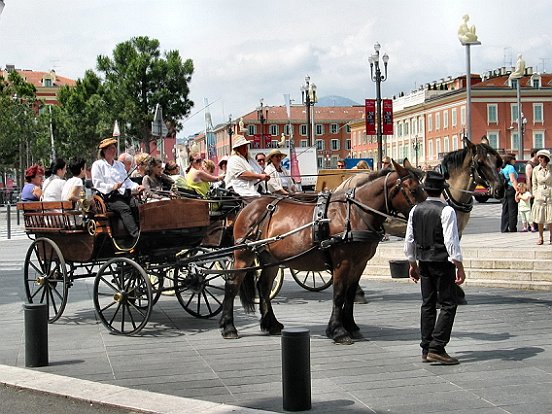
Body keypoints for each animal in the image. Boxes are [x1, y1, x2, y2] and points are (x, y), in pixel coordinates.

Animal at [220, 160, 426, 344]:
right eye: (413, 190)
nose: (427, 212)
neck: (354, 213)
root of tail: (247, 207)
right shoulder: (342, 263)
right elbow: (339, 294)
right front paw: (338, 331)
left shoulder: (360, 263)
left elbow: (350, 294)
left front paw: (351, 326)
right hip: (243, 255)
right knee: (233, 284)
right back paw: (229, 327)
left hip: (270, 258)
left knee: (263, 286)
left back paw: (271, 324)